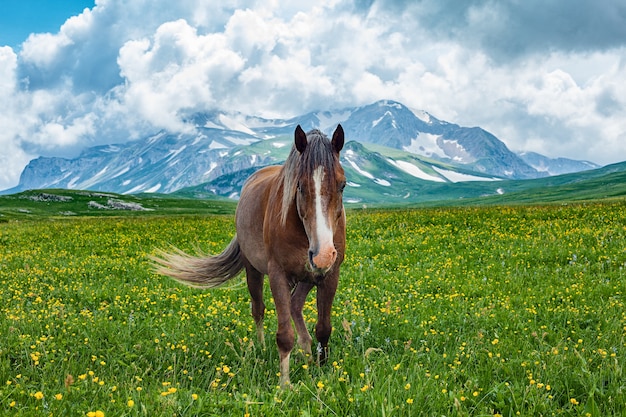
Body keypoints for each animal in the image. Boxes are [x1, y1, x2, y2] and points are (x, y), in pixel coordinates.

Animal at [152, 124, 346, 386]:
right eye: (299, 186)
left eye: (342, 185)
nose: (322, 254)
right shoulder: (278, 274)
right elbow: (284, 334)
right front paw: (284, 385)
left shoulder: (329, 275)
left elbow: (324, 328)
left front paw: (322, 370)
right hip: (254, 270)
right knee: (259, 309)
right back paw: (263, 348)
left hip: (307, 276)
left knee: (295, 305)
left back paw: (306, 351)